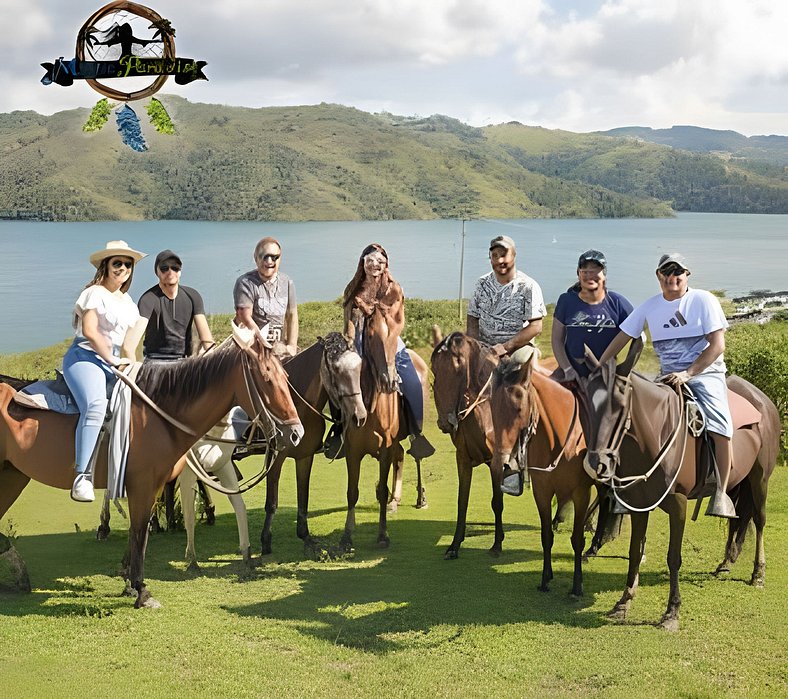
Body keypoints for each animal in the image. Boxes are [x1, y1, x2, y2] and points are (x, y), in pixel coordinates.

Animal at [0, 330, 302, 608]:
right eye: (267, 379)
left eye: (286, 377)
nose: (296, 434)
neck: (156, 415)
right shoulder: (143, 484)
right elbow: (140, 531)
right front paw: (141, 589)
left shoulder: (154, 485)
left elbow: (142, 530)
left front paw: (129, 580)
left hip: (13, 476)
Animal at [490, 356, 588, 596]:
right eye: (492, 408)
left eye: (518, 409)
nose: (499, 464)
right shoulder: (542, 492)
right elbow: (546, 537)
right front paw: (545, 578)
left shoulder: (581, 493)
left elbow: (576, 539)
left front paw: (577, 585)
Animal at [580, 342, 780, 632]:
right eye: (586, 400)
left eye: (620, 404)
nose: (597, 462)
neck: (655, 434)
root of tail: (763, 401)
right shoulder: (639, 504)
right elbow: (634, 551)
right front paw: (623, 602)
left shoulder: (678, 504)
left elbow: (673, 556)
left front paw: (671, 611)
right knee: (739, 519)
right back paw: (726, 563)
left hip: (759, 478)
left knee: (760, 519)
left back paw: (758, 573)